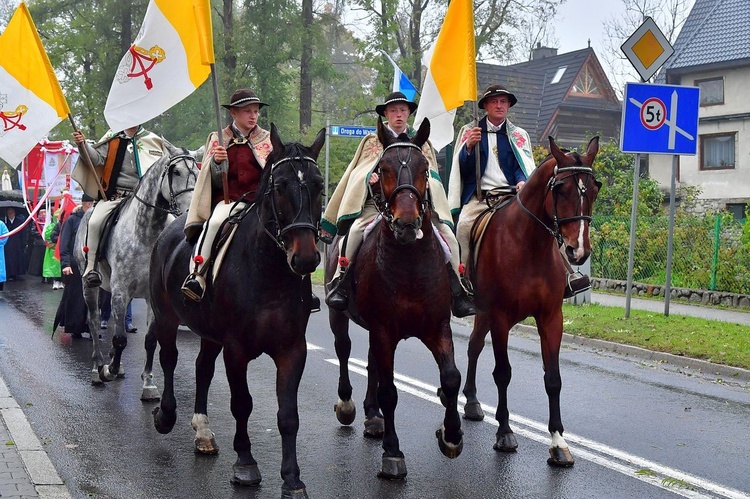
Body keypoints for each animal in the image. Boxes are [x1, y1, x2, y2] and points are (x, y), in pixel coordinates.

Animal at [74, 142, 200, 398]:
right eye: (176, 172)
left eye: (198, 172)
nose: (190, 213)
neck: (146, 233)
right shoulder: (120, 290)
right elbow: (120, 338)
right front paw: (108, 370)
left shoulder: (153, 296)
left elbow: (150, 339)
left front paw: (149, 383)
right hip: (89, 286)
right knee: (94, 321)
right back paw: (98, 367)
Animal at [148, 124, 326, 496]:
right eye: (279, 186)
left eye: (319, 185)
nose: (306, 258)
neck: (268, 273)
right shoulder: (236, 349)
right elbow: (242, 404)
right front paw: (245, 464)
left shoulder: (292, 349)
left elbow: (288, 415)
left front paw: (292, 478)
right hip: (166, 318)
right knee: (169, 358)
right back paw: (166, 416)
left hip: (209, 334)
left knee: (202, 368)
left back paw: (202, 431)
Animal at [328, 119, 464, 482]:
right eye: (383, 169)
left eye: (425, 169)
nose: (406, 223)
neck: (409, 265)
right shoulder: (384, 330)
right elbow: (390, 391)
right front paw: (392, 453)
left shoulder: (437, 328)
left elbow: (451, 378)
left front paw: (451, 435)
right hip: (340, 316)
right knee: (344, 350)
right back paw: (349, 406)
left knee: (372, 362)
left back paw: (372, 416)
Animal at [462, 136, 604, 468]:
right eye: (561, 189)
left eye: (595, 188)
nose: (579, 250)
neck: (527, 245)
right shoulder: (500, 318)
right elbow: (503, 373)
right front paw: (504, 432)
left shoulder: (551, 318)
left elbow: (553, 378)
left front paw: (558, 442)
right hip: (485, 313)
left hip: (483, 315)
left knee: (474, 346)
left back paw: (472, 401)